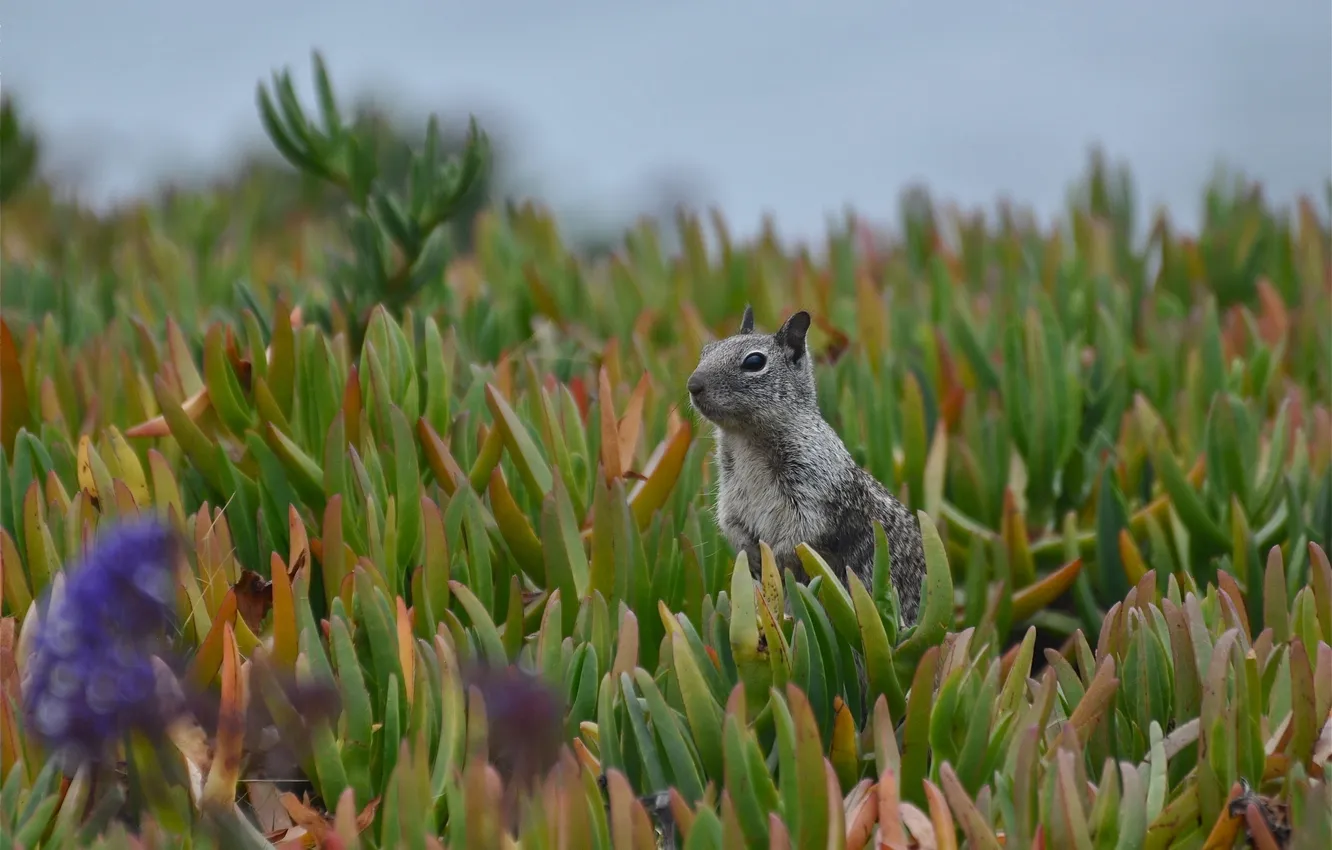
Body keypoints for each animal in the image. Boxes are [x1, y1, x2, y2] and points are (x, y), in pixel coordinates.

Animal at [687, 306, 927, 626]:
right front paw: (749, 554)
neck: (746, 440)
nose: (693, 385)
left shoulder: (815, 489)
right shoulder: (731, 495)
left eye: (754, 362)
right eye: (706, 351)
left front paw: (773, 560)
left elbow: (804, 534)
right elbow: (732, 522)